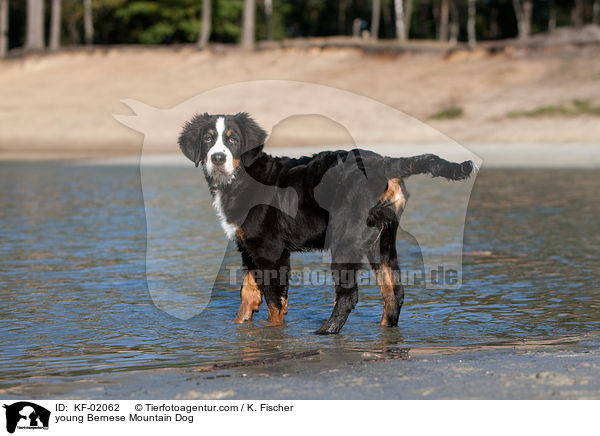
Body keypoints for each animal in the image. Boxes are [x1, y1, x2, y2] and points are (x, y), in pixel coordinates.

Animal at [178, 112, 474, 334]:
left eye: (233, 139)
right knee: (393, 292)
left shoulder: (270, 249)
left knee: (348, 295)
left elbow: (275, 301)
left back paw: (325, 332)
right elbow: (248, 292)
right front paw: (240, 326)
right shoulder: (248, 248)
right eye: (208, 138)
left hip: (346, 240)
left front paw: (273, 335)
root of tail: (384, 163)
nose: (217, 158)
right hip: (381, 241)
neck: (241, 178)